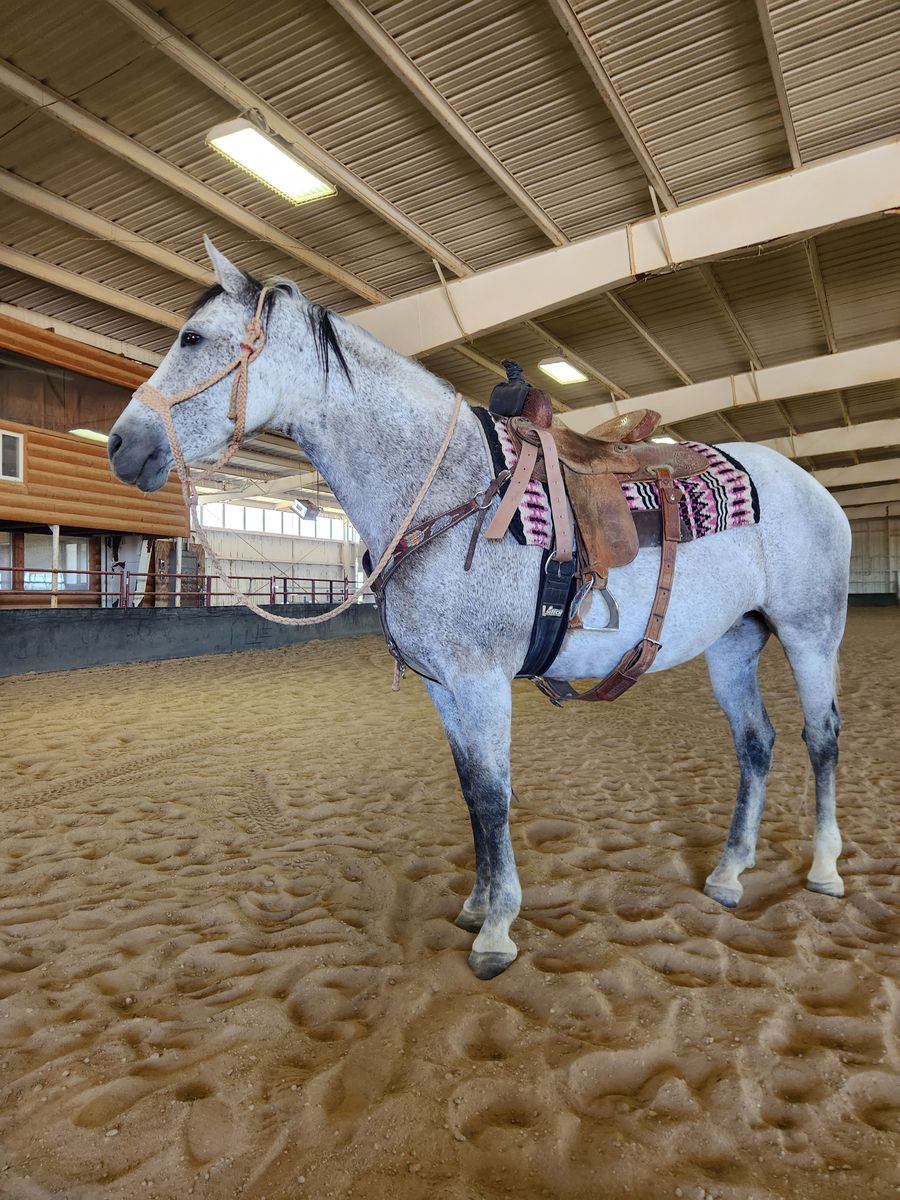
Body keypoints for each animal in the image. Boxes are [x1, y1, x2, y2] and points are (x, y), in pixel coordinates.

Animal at [108, 237, 851, 980]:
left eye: (193, 337)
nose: (120, 445)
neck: (450, 491)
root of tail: (814, 489)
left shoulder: (482, 679)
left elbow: (495, 795)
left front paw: (496, 931)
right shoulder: (442, 686)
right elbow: (471, 791)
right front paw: (474, 905)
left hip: (811, 637)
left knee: (820, 738)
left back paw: (824, 868)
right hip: (733, 644)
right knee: (755, 743)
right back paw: (729, 872)